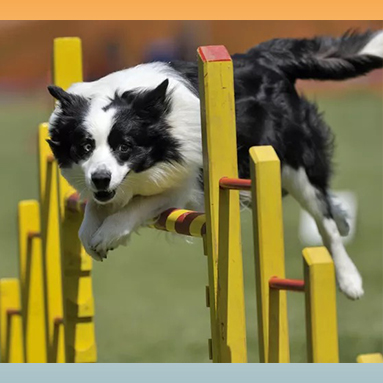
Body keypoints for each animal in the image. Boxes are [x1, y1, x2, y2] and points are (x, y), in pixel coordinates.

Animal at [48, 30, 383, 300]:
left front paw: (107, 234)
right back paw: (345, 219)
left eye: (124, 146)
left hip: (290, 160)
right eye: (85, 146)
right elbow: (93, 209)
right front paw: (90, 232)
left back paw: (349, 279)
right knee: (328, 204)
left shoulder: (183, 181)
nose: (101, 178)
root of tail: (263, 58)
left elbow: (136, 206)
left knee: (324, 219)